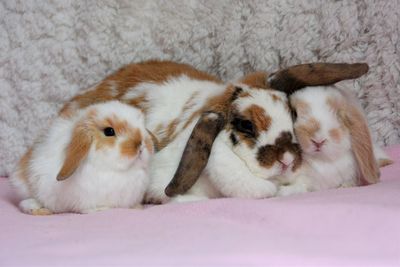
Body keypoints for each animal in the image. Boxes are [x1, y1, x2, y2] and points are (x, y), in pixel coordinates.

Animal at [9, 100, 153, 216]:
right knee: (24, 203)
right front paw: (100, 209)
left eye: (142, 127)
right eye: (109, 131)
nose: (141, 145)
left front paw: (138, 207)